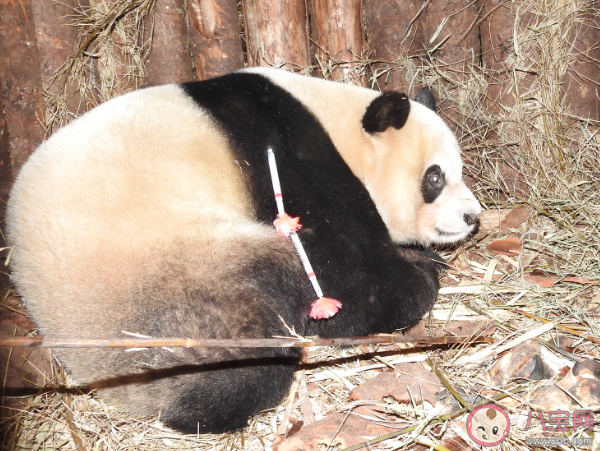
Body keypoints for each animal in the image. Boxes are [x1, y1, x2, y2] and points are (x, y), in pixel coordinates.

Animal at [4, 69, 480, 436]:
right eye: (434, 177)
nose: (472, 216)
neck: (339, 123)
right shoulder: (289, 160)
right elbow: (348, 282)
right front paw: (422, 274)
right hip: (181, 278)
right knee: (243, 333)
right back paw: (219, 397)